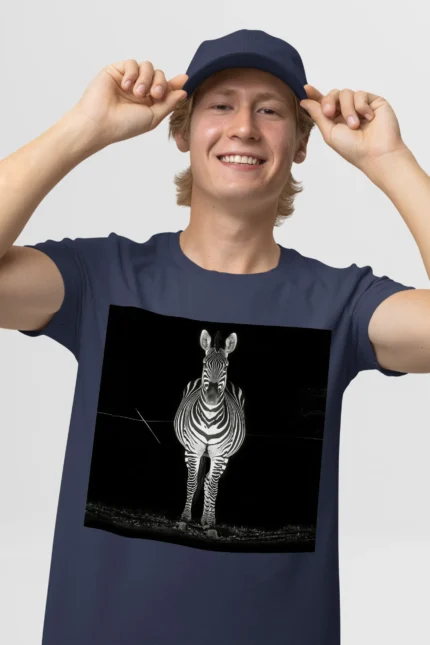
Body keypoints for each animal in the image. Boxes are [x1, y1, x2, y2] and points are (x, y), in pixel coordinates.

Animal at [173, 329, 246, 538]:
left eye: (226, 366)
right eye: (205, 363)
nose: (212, 395)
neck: (209, 416)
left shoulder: (220, 455)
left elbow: (213, 488)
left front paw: (211, 525)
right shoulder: (193, 450)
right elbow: (191, 482)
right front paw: (184, 520)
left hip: (224, 457)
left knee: (210, 482)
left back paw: (206, 522)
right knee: (201, 480)